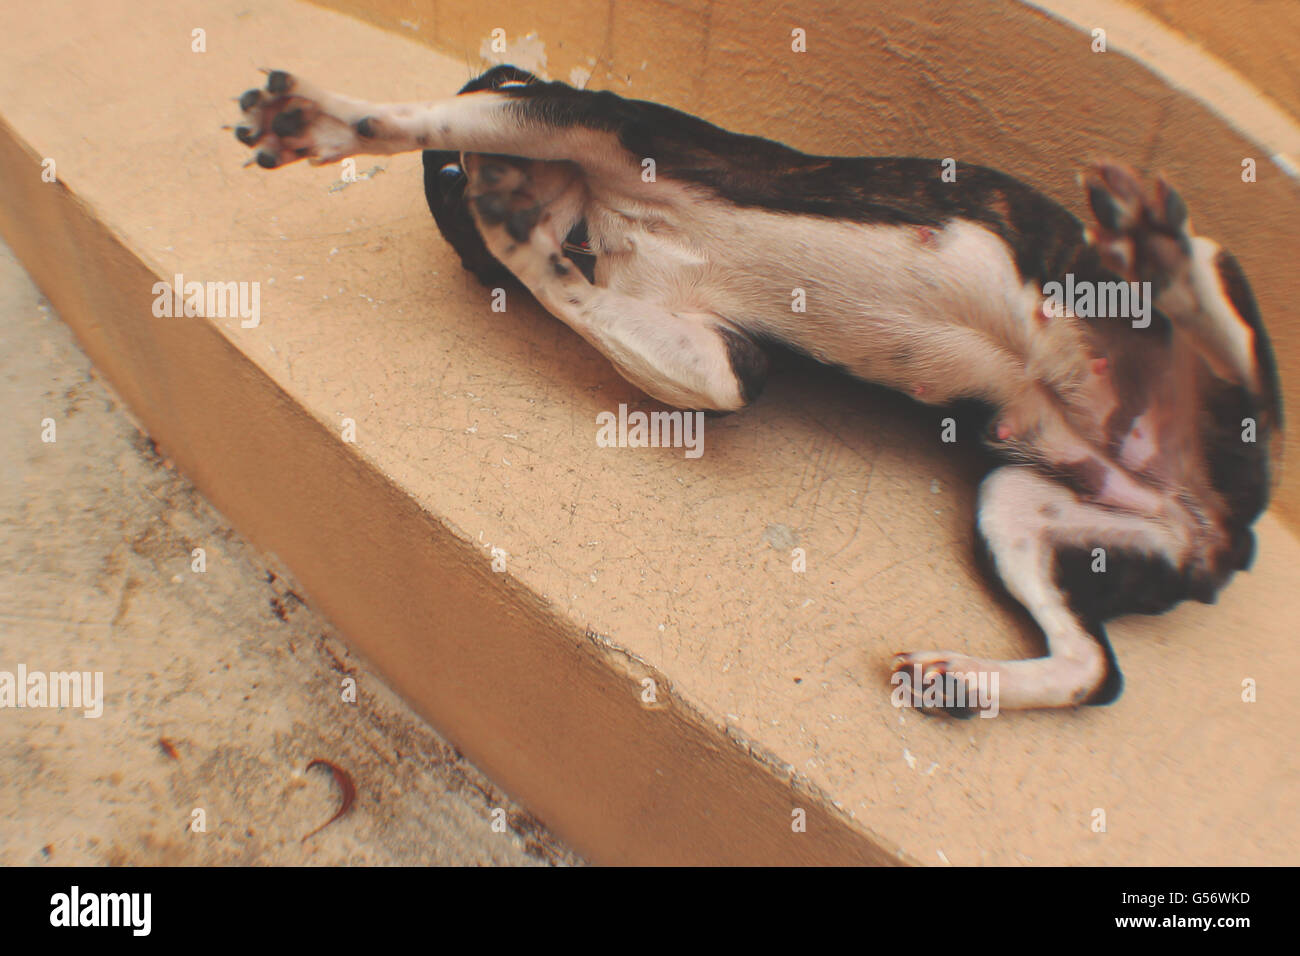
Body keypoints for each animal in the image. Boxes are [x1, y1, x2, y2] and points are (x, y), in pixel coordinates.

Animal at [231, 63, 1279, 712]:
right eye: (442, 192)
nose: (483, 180)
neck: (598, 214)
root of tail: (1224, 535)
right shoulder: (723, 362)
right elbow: (571, 293)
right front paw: (513, 227)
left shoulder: (589, 117)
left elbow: (409, 118)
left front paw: (317, 121)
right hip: (1018, 503)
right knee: (1091, 669)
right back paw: (964, 683)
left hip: (1188, 355)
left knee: (1234, 350)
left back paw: (1161, 248)